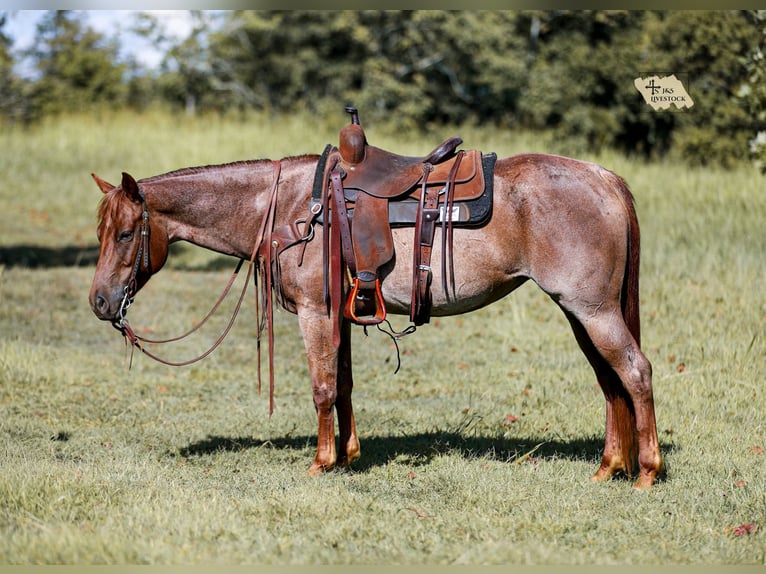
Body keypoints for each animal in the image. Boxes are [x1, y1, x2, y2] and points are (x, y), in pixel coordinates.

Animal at [89, 147, 664, 489]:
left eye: (126, 233)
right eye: (101, 232)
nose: (99, 302)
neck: (292, 209)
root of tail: (605, 178)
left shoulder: (316, 312)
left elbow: (322, 387)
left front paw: (322, 462)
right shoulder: (339, 315)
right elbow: (342, 384)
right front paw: (348, 454)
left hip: (592, 310)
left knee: (634, 373)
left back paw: (647, 473)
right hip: (581, 312)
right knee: (610, 381)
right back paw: (609, 467)